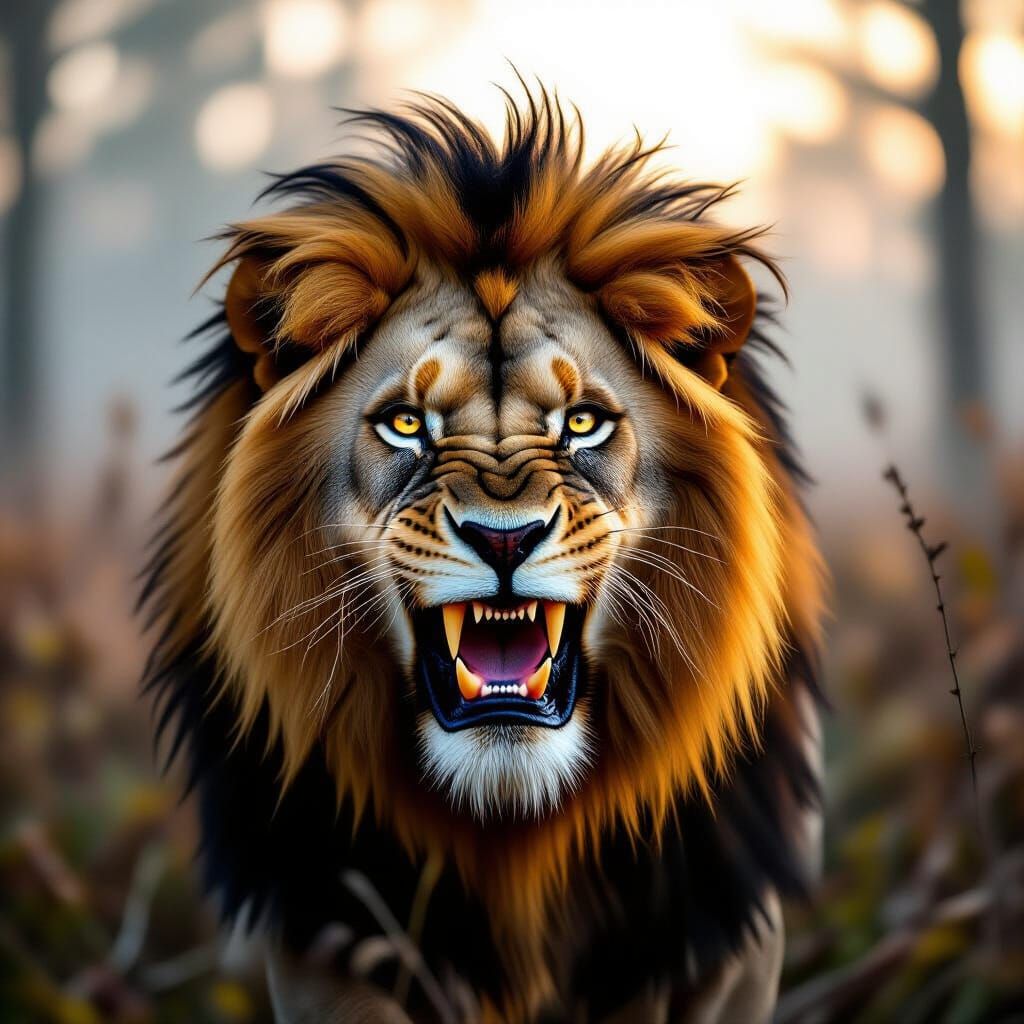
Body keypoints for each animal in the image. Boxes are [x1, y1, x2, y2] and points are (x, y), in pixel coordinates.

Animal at [144, 86, 825, 1023]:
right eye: (406, 423)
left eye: (583, 423)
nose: (505, 537)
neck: (513, 824)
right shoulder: (326, 949)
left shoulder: (723, 950)